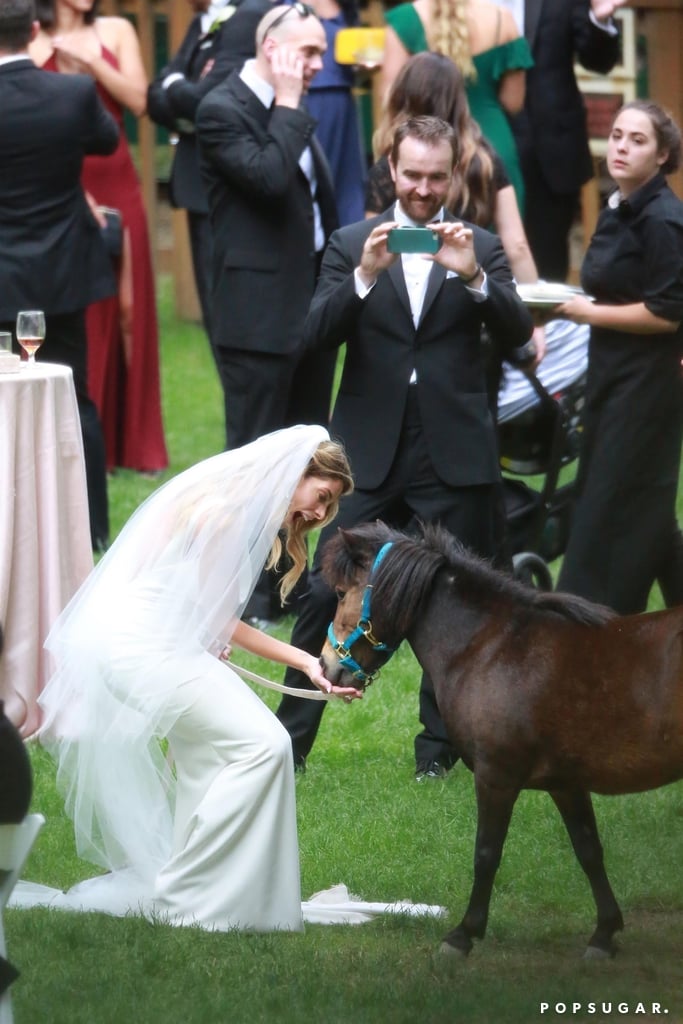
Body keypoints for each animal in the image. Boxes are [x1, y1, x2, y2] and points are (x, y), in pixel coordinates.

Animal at [321, 524, 683, 954]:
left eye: (341, 593)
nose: (327, 665)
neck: (492, 647)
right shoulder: (567, 783)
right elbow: (589, 850)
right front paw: (605, 933)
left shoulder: (496, 777)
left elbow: (486, 854)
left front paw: (463, 934)